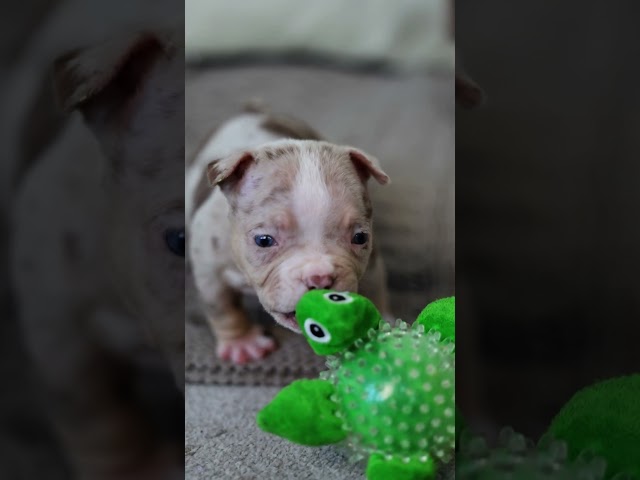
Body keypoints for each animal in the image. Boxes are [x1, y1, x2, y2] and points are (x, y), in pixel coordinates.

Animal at [186, 111, 392, 364]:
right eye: (263, 241)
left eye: (360, 238)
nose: (319, 277)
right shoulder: (209, 267)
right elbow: (223, 306)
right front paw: (241, 342)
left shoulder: (372, 260)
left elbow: (375, 288)